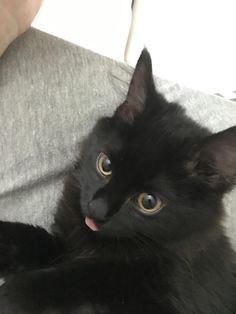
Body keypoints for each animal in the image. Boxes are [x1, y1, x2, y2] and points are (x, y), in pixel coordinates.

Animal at [0, 50, 236, 312]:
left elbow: (88, 279)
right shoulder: (64, 245)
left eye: (149, 202)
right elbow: (32, 238)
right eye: (106, 165)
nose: (97, 209)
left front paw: (14, 293)